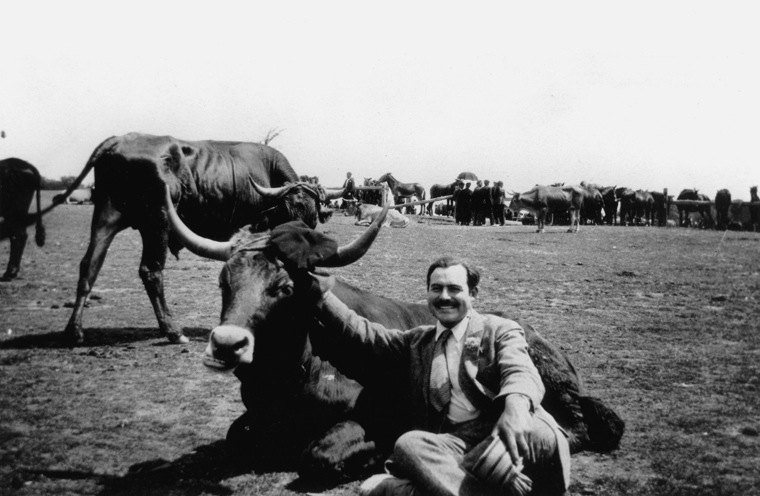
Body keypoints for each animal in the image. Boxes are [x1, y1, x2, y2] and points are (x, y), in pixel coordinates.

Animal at [56, 133, 343, 345]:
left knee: (89, 265)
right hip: (158, 223)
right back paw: (173, 331)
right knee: (151, 271)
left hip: (106, 216)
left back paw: (75, 331)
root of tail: (119, 139)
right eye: (289, 210)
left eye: (312, 217)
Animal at [164, 189, 624, 484]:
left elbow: (318, 456)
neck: (293, 373)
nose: (227, 344)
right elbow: (235, 437)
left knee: (574, 426)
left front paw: (373, 458)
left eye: (285, 287)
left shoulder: (374, 418)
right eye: (224, 281)